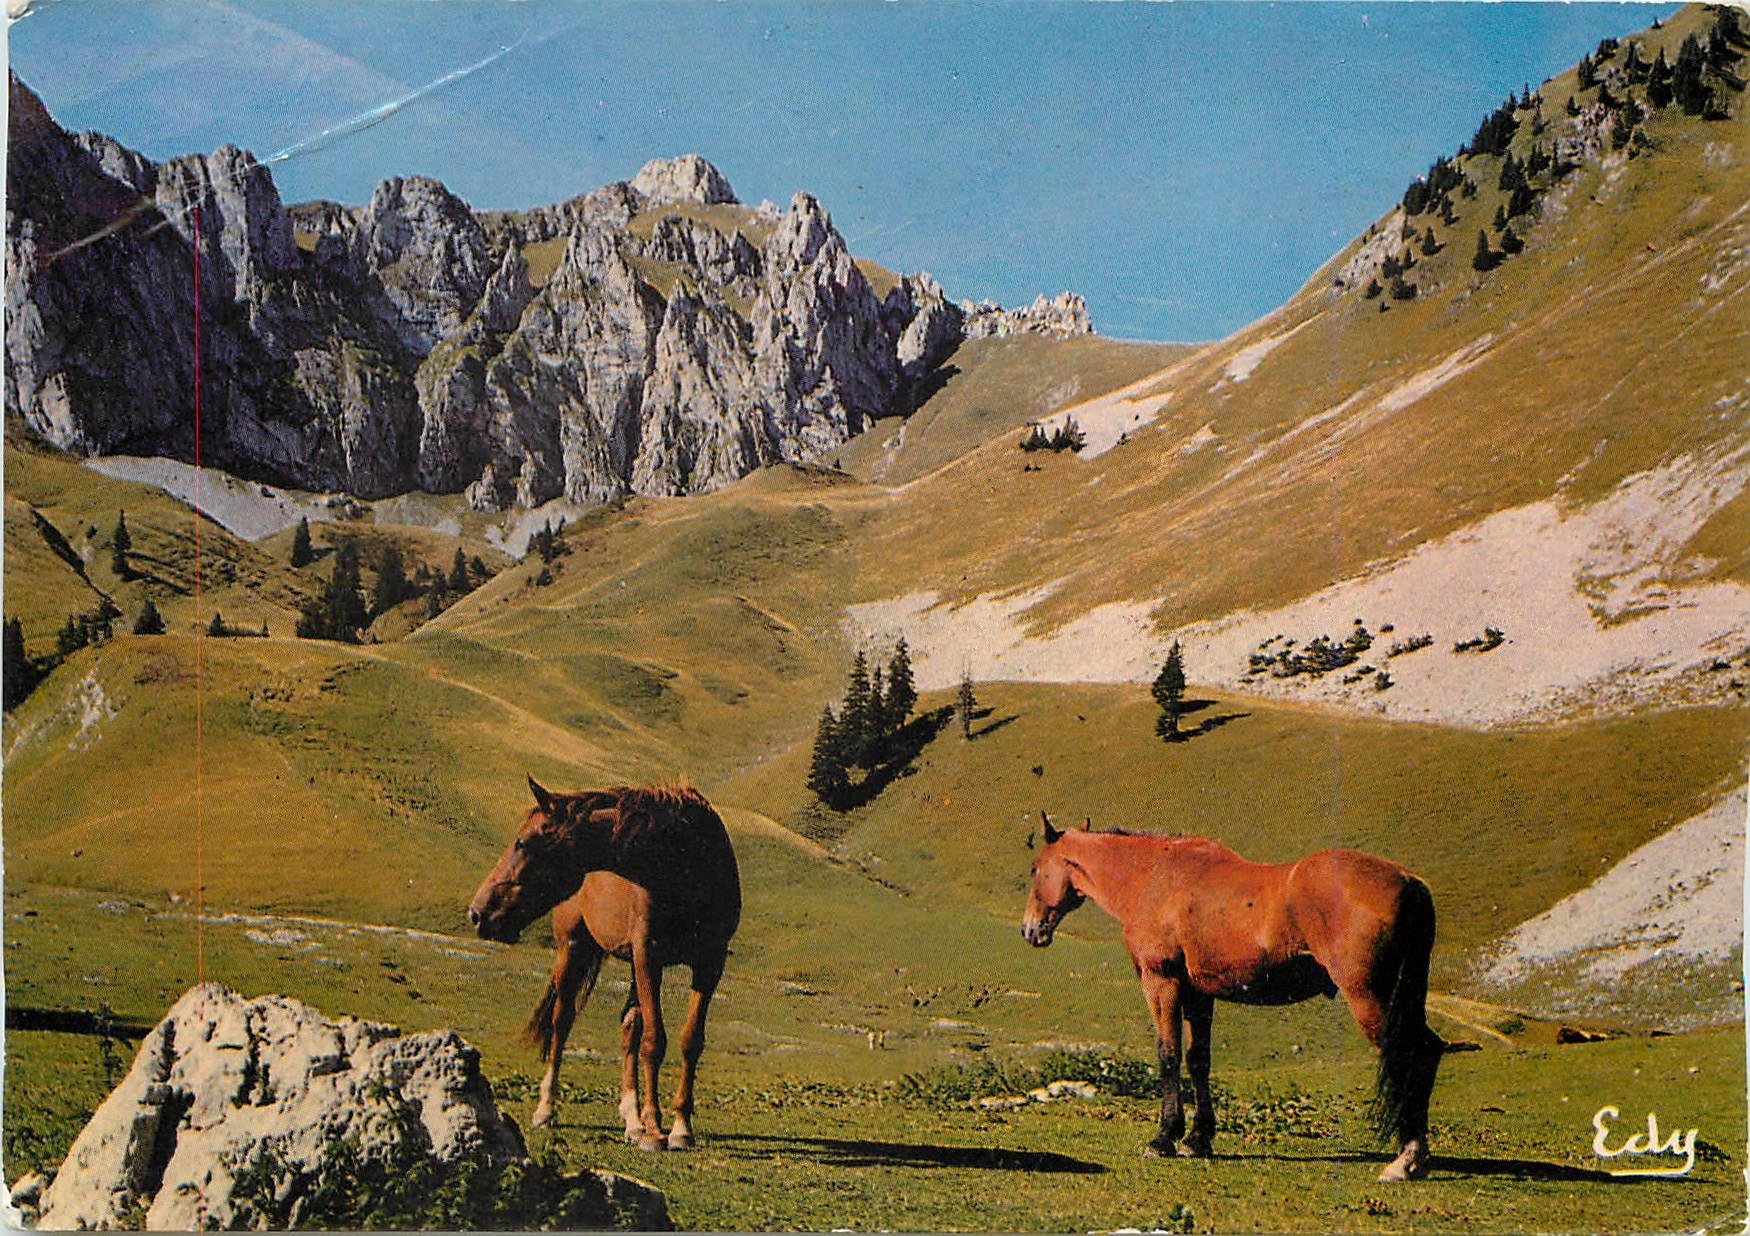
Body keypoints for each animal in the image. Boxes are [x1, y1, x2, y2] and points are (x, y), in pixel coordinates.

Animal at [468, 777, 741, 1151]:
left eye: (521, 842)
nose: (477, 913)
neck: (683, 861)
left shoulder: (709, 963)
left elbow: (689, 1042)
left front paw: (680, 1126)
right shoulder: (648, 954)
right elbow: (654, 1040)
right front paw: (654, 1129)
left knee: (628, 1025)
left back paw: (632, 1119)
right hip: (574, 948)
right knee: (562, 1022)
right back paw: (547, 1110)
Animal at [1020, 814, 1443, 1182]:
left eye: (1034, 869)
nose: (1029, 930)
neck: (1154, 878)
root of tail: (1410, 882)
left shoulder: (1162, 984)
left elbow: (1168, 1055)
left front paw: (1164, 1138)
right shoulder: (1199, 994)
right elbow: (1198, 1060)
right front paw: (1197, 1139)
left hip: (1369, 998)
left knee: (1410, 1053)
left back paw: (1404, 1160)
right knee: (1428, 1049)